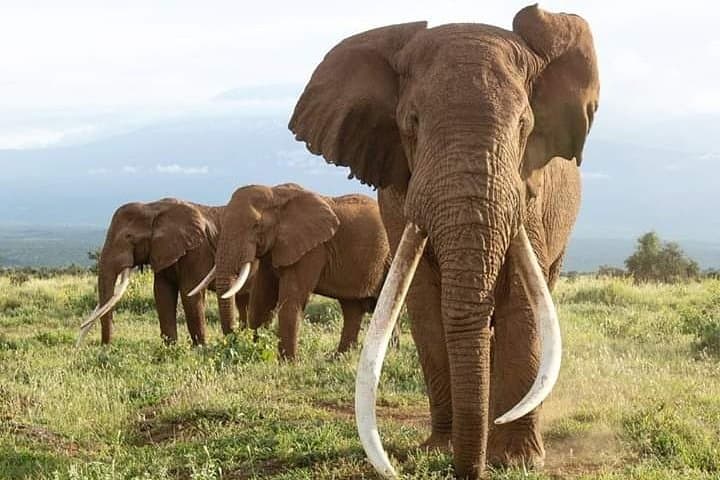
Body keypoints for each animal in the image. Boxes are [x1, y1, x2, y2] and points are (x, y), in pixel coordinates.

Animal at [77, 198, 252, 346]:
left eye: (129, 237)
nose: (105, 345)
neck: (152, 207)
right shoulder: (162, 251)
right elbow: (162, 293)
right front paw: (170, 347)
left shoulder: (197, 250)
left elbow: (189, 293)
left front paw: (200, 348)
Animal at [195, 183, 391, 359]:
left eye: (256, 225)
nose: (234, 338)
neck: (275, 193)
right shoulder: (274, 249)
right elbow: (261, 299)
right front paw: (256, 352)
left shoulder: (313, 250)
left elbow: (291, 299)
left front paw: (287, 363)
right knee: (351, 309)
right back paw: (339, 358)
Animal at [289, 5, 599, 478]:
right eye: (411, 123)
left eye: (524, 125)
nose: (466, 471)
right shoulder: (398, 198)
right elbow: (424, 305)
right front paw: (439, 449)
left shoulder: (530, 194)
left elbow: (523, 305)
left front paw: (517, 460)